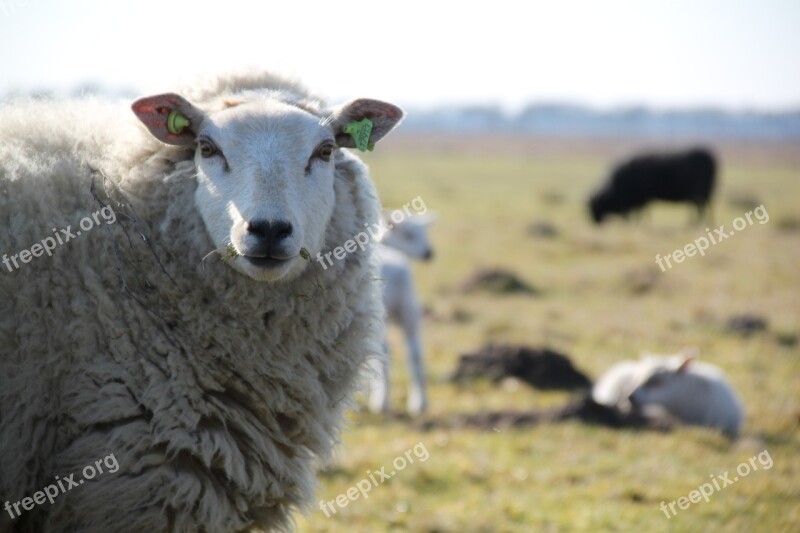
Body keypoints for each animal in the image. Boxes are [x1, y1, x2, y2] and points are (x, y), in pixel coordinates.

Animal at [368, 209, 434, 416]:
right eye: (409, 235)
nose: (429, 254)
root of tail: (397, 272)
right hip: (409, 308)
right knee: (415, 352)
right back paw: (420, 403)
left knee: (384, 351)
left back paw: (381, 401)